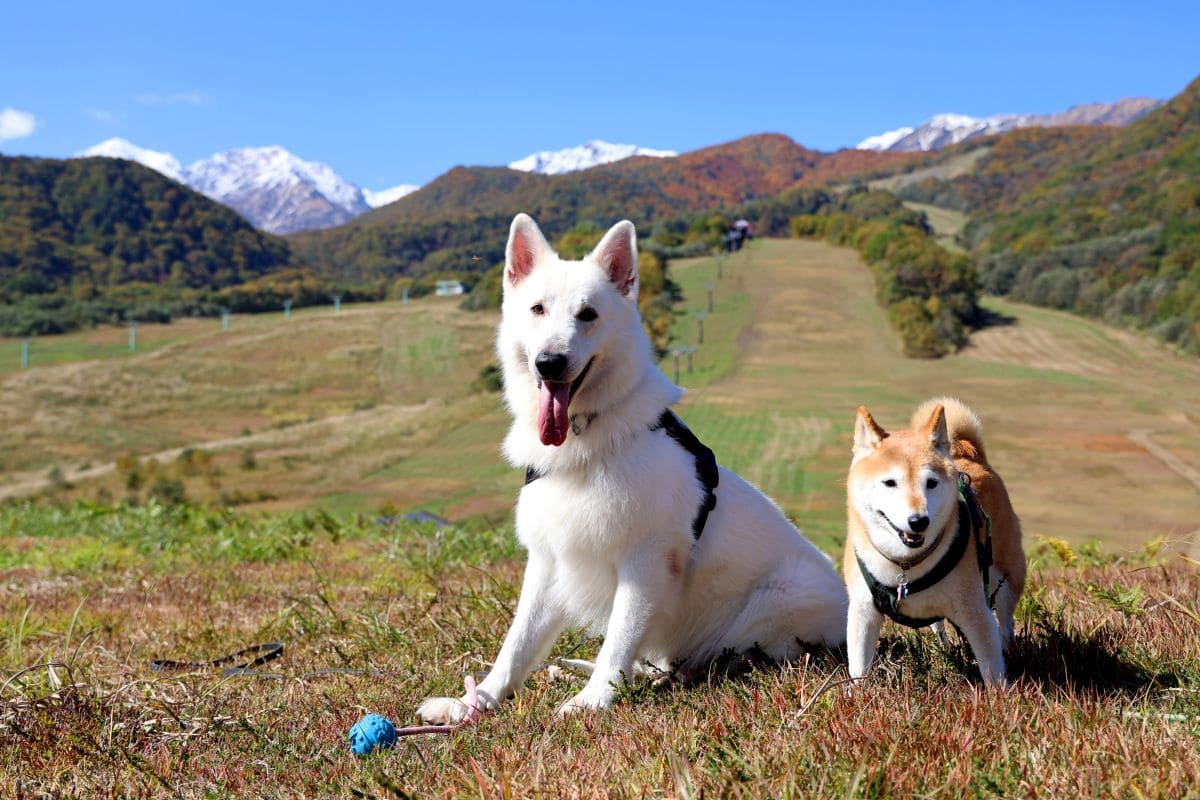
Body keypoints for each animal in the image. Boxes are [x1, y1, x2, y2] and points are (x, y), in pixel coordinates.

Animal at [417, 211, 849, 719]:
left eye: (588, 315)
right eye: (538, 310)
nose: (549, 363)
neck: (589, 438)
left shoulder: (643, 564)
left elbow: (619, 640)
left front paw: (594, 701)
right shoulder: (547, 564)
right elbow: (516, 645)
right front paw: (478, 700)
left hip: (783, 594)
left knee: (724, 655)